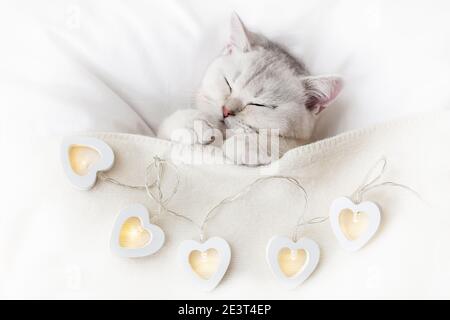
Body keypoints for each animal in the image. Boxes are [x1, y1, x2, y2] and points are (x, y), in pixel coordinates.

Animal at [156, 12, 342, 165]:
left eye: (259, 104)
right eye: (228, 83)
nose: (226, 110)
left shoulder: (302, 145)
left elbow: (284, 144)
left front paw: (246, 143)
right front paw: (195, 123)